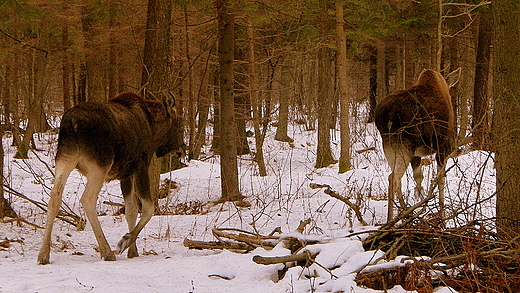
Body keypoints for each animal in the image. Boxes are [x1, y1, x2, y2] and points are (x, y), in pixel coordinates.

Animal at [38, 90, 185, 264]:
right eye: (180, 127)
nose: (182, 150)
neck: (154, 130)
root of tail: (72, 123)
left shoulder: (125, 174)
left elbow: (131, 211)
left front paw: (133, 251)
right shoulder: (140, 165)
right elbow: (148, 208)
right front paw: (125, 241)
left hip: (65, 159)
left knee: (54, 197)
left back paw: (43, 254)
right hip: (100, 166)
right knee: (87, 199)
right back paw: (107, 251)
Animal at [374, 68, 460, 221]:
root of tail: (387, 115)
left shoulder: (417, 154)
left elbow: (419, 178)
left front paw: (422, 205)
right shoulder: (443, 148)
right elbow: (440, 180)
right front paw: (442, 213)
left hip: (390, 147)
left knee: (396, 179)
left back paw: (404, 211)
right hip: (404, 146)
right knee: (393, 178)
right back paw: (391, 219)